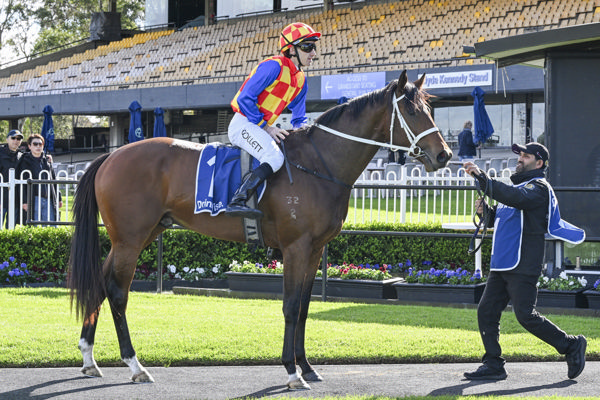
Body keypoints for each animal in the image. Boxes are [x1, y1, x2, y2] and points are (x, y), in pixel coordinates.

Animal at [68, 70, 452, 390]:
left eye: (431, 110)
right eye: (413, 112)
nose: (444, 155)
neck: (318, 164)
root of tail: (111, 156)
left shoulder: (314, 250)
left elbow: (304, 308)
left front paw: (307, 366)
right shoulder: (296, 247)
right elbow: (290, 306)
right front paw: (292, 372)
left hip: (139, 236)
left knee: (100, 283)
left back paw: (89, 357)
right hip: (130, 240)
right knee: (117, 292)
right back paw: (135, 365)